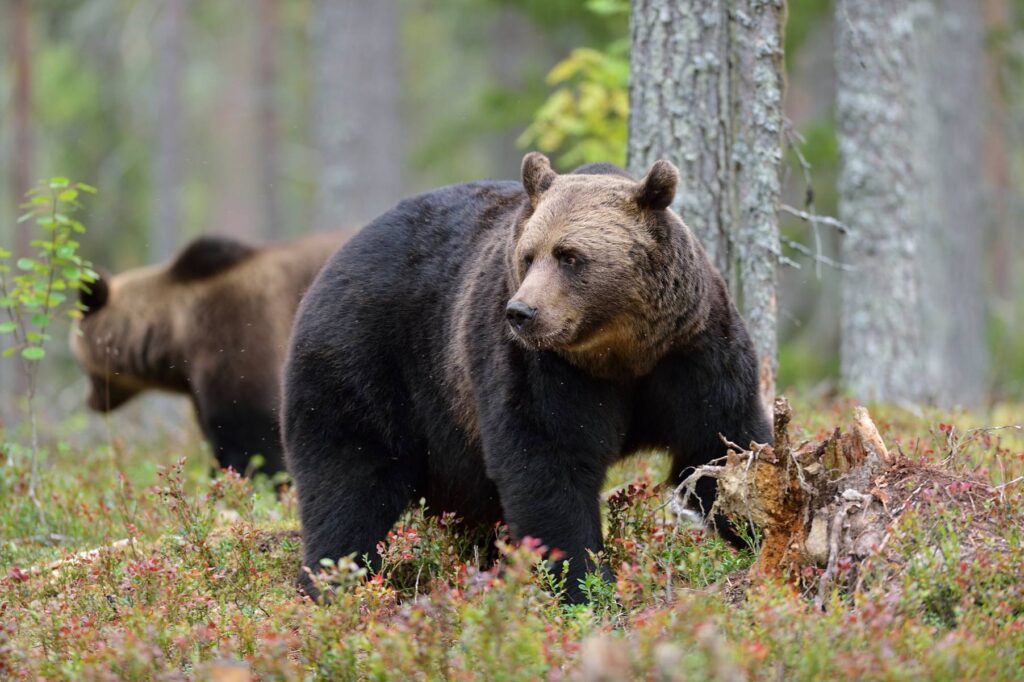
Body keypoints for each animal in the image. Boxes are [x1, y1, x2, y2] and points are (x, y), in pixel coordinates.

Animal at [283, 153, 771, 602]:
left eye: (570, 256)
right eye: (529, 254)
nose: (521, 312)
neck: (619, 352)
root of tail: (336, 256)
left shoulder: (691, 352)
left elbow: (721, 444)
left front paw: (763, 527)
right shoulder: (539, 368)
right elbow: (547, 463)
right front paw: (584, 585)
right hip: (365, 358)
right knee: (350, 480)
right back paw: (336, 583)